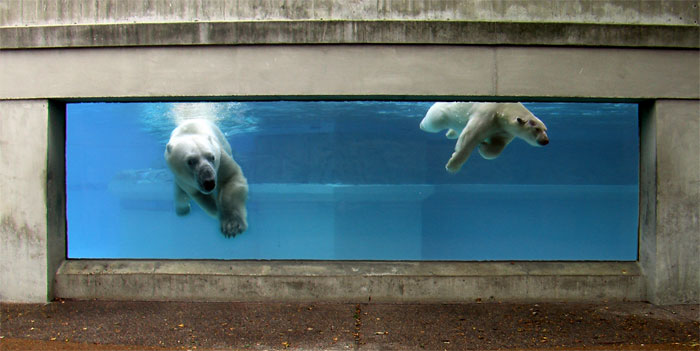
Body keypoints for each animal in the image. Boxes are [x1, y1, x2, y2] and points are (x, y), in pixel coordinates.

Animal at [418, 102, 548, 173]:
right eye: (536, 129)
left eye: (545, 129)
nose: (545, 141)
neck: (503, 109)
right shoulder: (486, 116)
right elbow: (469, 137)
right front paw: (452, 165)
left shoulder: (505, 130)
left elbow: (498, 145)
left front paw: (483, 146)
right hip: (441, 113)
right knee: (433, 123)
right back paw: (423, 125)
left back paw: (450, 133)